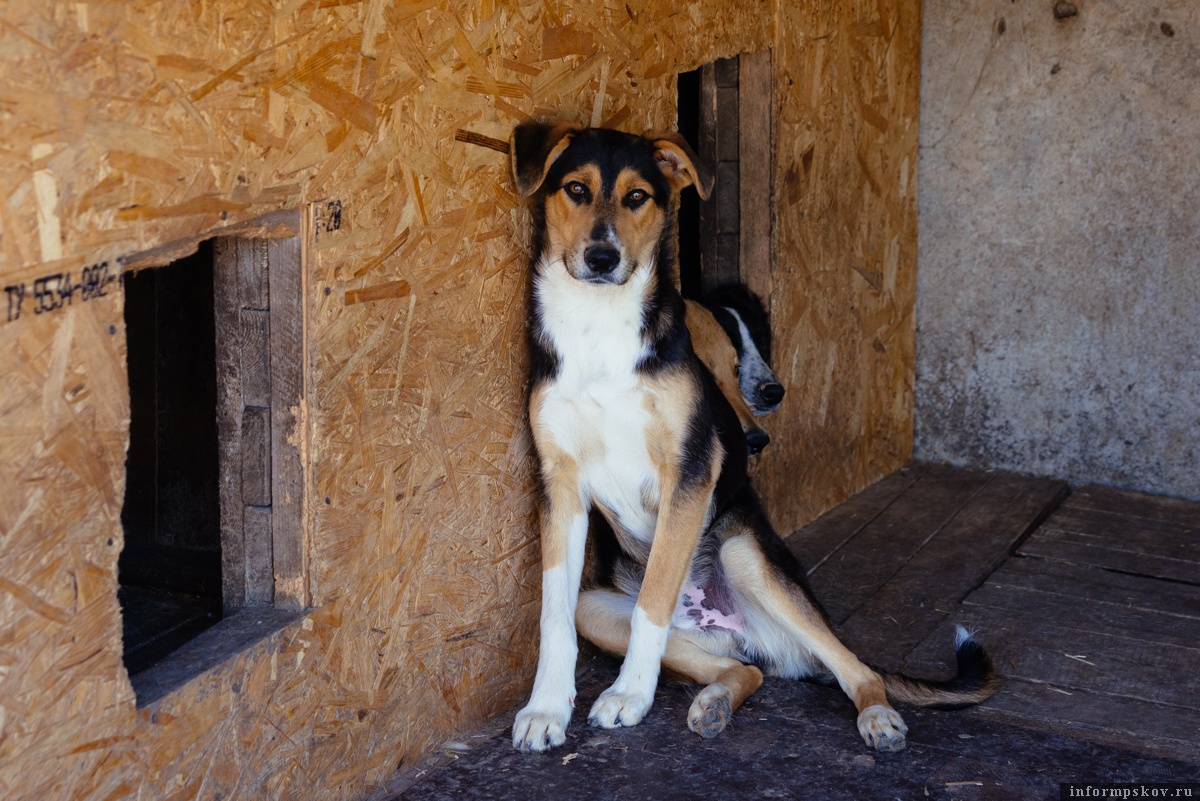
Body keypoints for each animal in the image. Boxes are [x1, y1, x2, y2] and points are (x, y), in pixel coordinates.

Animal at [506, 122, 993, 753]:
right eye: (575, 189)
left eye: (638, 196)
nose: (602, 257)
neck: (598, 327)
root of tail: (739, 633)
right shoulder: (559, 484)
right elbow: (554, 617)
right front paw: (546, 708)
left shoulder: (689, 469)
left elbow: (654, 600)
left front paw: (629, 696)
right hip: (605, 608)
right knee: (744, 671)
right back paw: (715, 702)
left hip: (747, 557)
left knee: (856, 668)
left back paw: (878, 717)